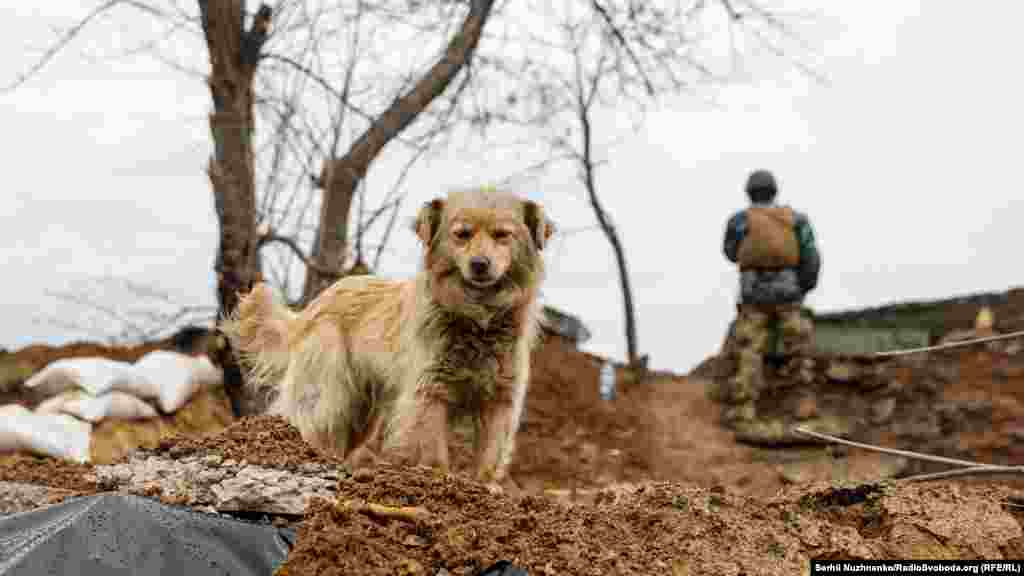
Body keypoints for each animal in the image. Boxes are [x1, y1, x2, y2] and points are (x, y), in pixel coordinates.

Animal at [221, 186, 557, 481]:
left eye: (502, 235)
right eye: (462, 234)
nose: (479, 265)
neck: (477, 317)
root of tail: (310, 308)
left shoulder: (501, 398)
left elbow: (490, 452)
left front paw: (483, 488)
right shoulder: (428, 393)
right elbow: (433, 449)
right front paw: (439, 480)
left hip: (362, 408)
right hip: (329, 391)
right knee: (311, 421)